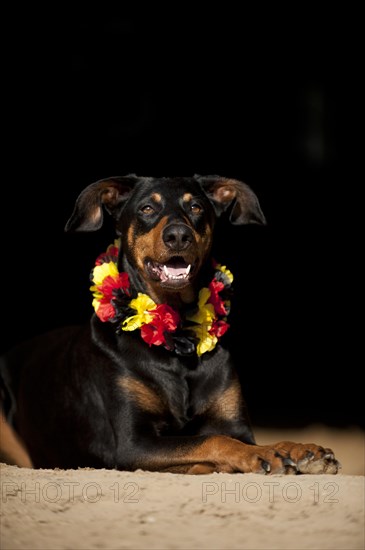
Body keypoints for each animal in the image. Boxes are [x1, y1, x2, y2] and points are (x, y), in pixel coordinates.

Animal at [0, 176, 338, 474]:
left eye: (196, 207)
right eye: (147, 208)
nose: (177, 235)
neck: (178, 335)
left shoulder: (237, 426)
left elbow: (242, 438)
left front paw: (302, 450)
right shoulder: (134, 444)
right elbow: (213, 441)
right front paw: (257, 457)